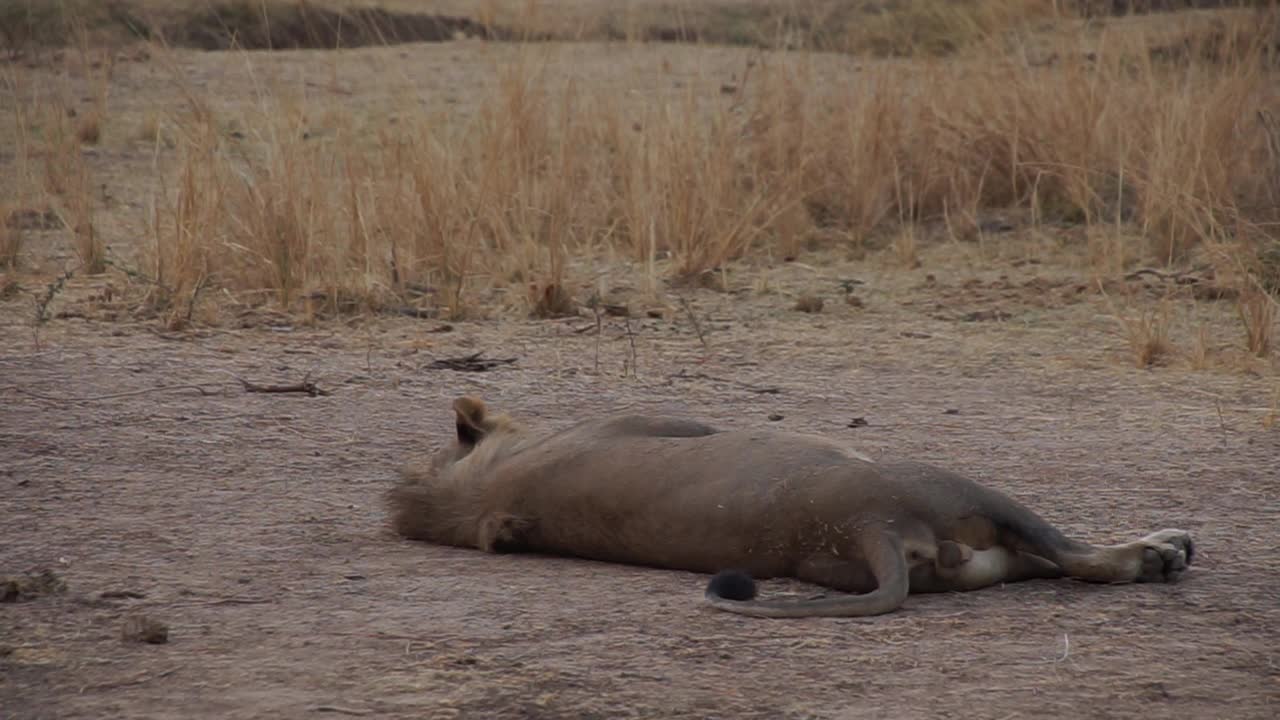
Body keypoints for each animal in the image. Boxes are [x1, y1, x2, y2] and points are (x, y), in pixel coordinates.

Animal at [384, 392, 1192, 617]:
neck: (489, 487)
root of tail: (869, 530)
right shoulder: (667, 421)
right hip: (960, 487)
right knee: (1075, 557)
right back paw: (1160, 550)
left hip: (970, 558)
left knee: (1044, 563)